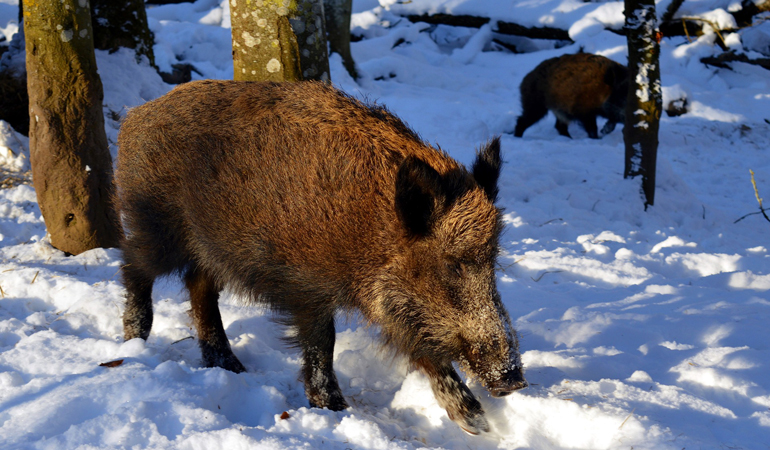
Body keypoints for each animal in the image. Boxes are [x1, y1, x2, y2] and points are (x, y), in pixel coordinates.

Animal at [116, 80, 527, 435]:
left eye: (492, 259)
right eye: (452, 264)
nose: (514, 380)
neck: (372, 230)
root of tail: (134, 117)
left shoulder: (398, 307)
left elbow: (421, 347)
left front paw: (477, 424)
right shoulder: (307, 285)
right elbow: (323, 343)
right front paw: (334, 410)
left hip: (207, 246)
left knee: (197, 284)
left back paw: (229, 367)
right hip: (158, 225)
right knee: (133, 262)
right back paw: (134, 340)